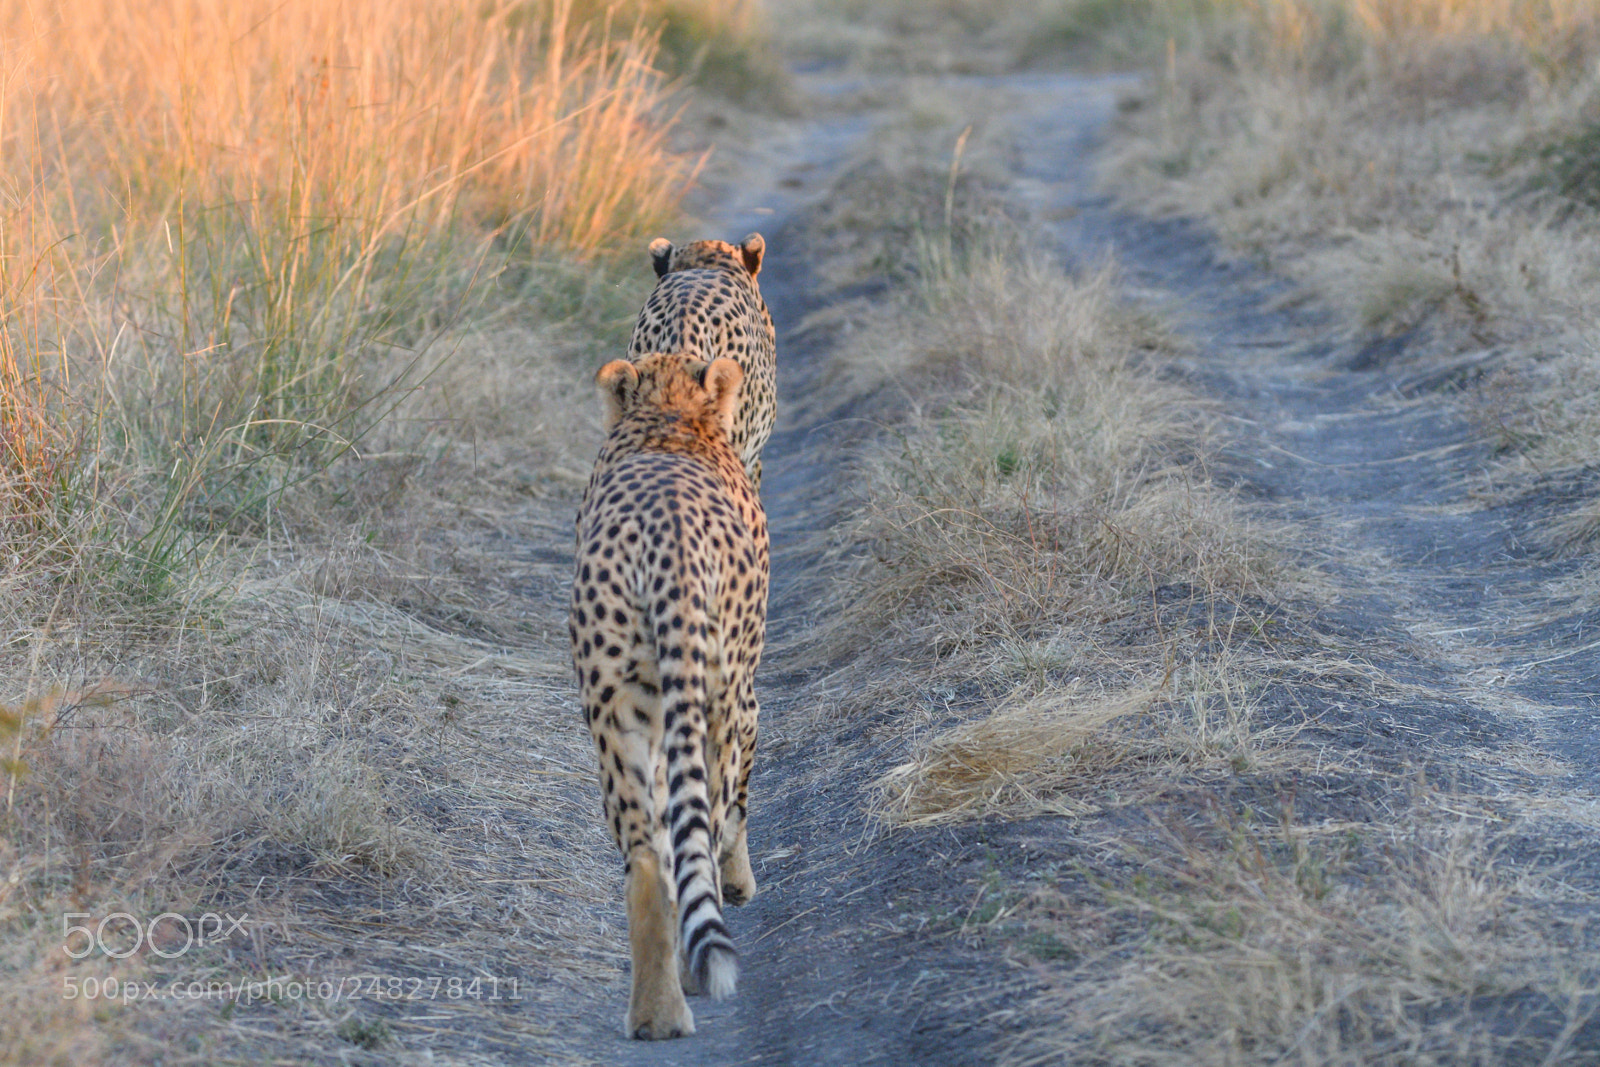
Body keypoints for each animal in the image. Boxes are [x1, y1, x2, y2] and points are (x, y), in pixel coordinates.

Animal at [570, 351, 769, 1040]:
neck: (670, 418)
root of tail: (666, 529)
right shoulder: (742, 700)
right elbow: (733, 809)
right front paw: (739, 882)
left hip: (614, 711)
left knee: (648, 858)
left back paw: (657, 1011)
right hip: (711, 701)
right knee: (701, 824)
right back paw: (687, 977)